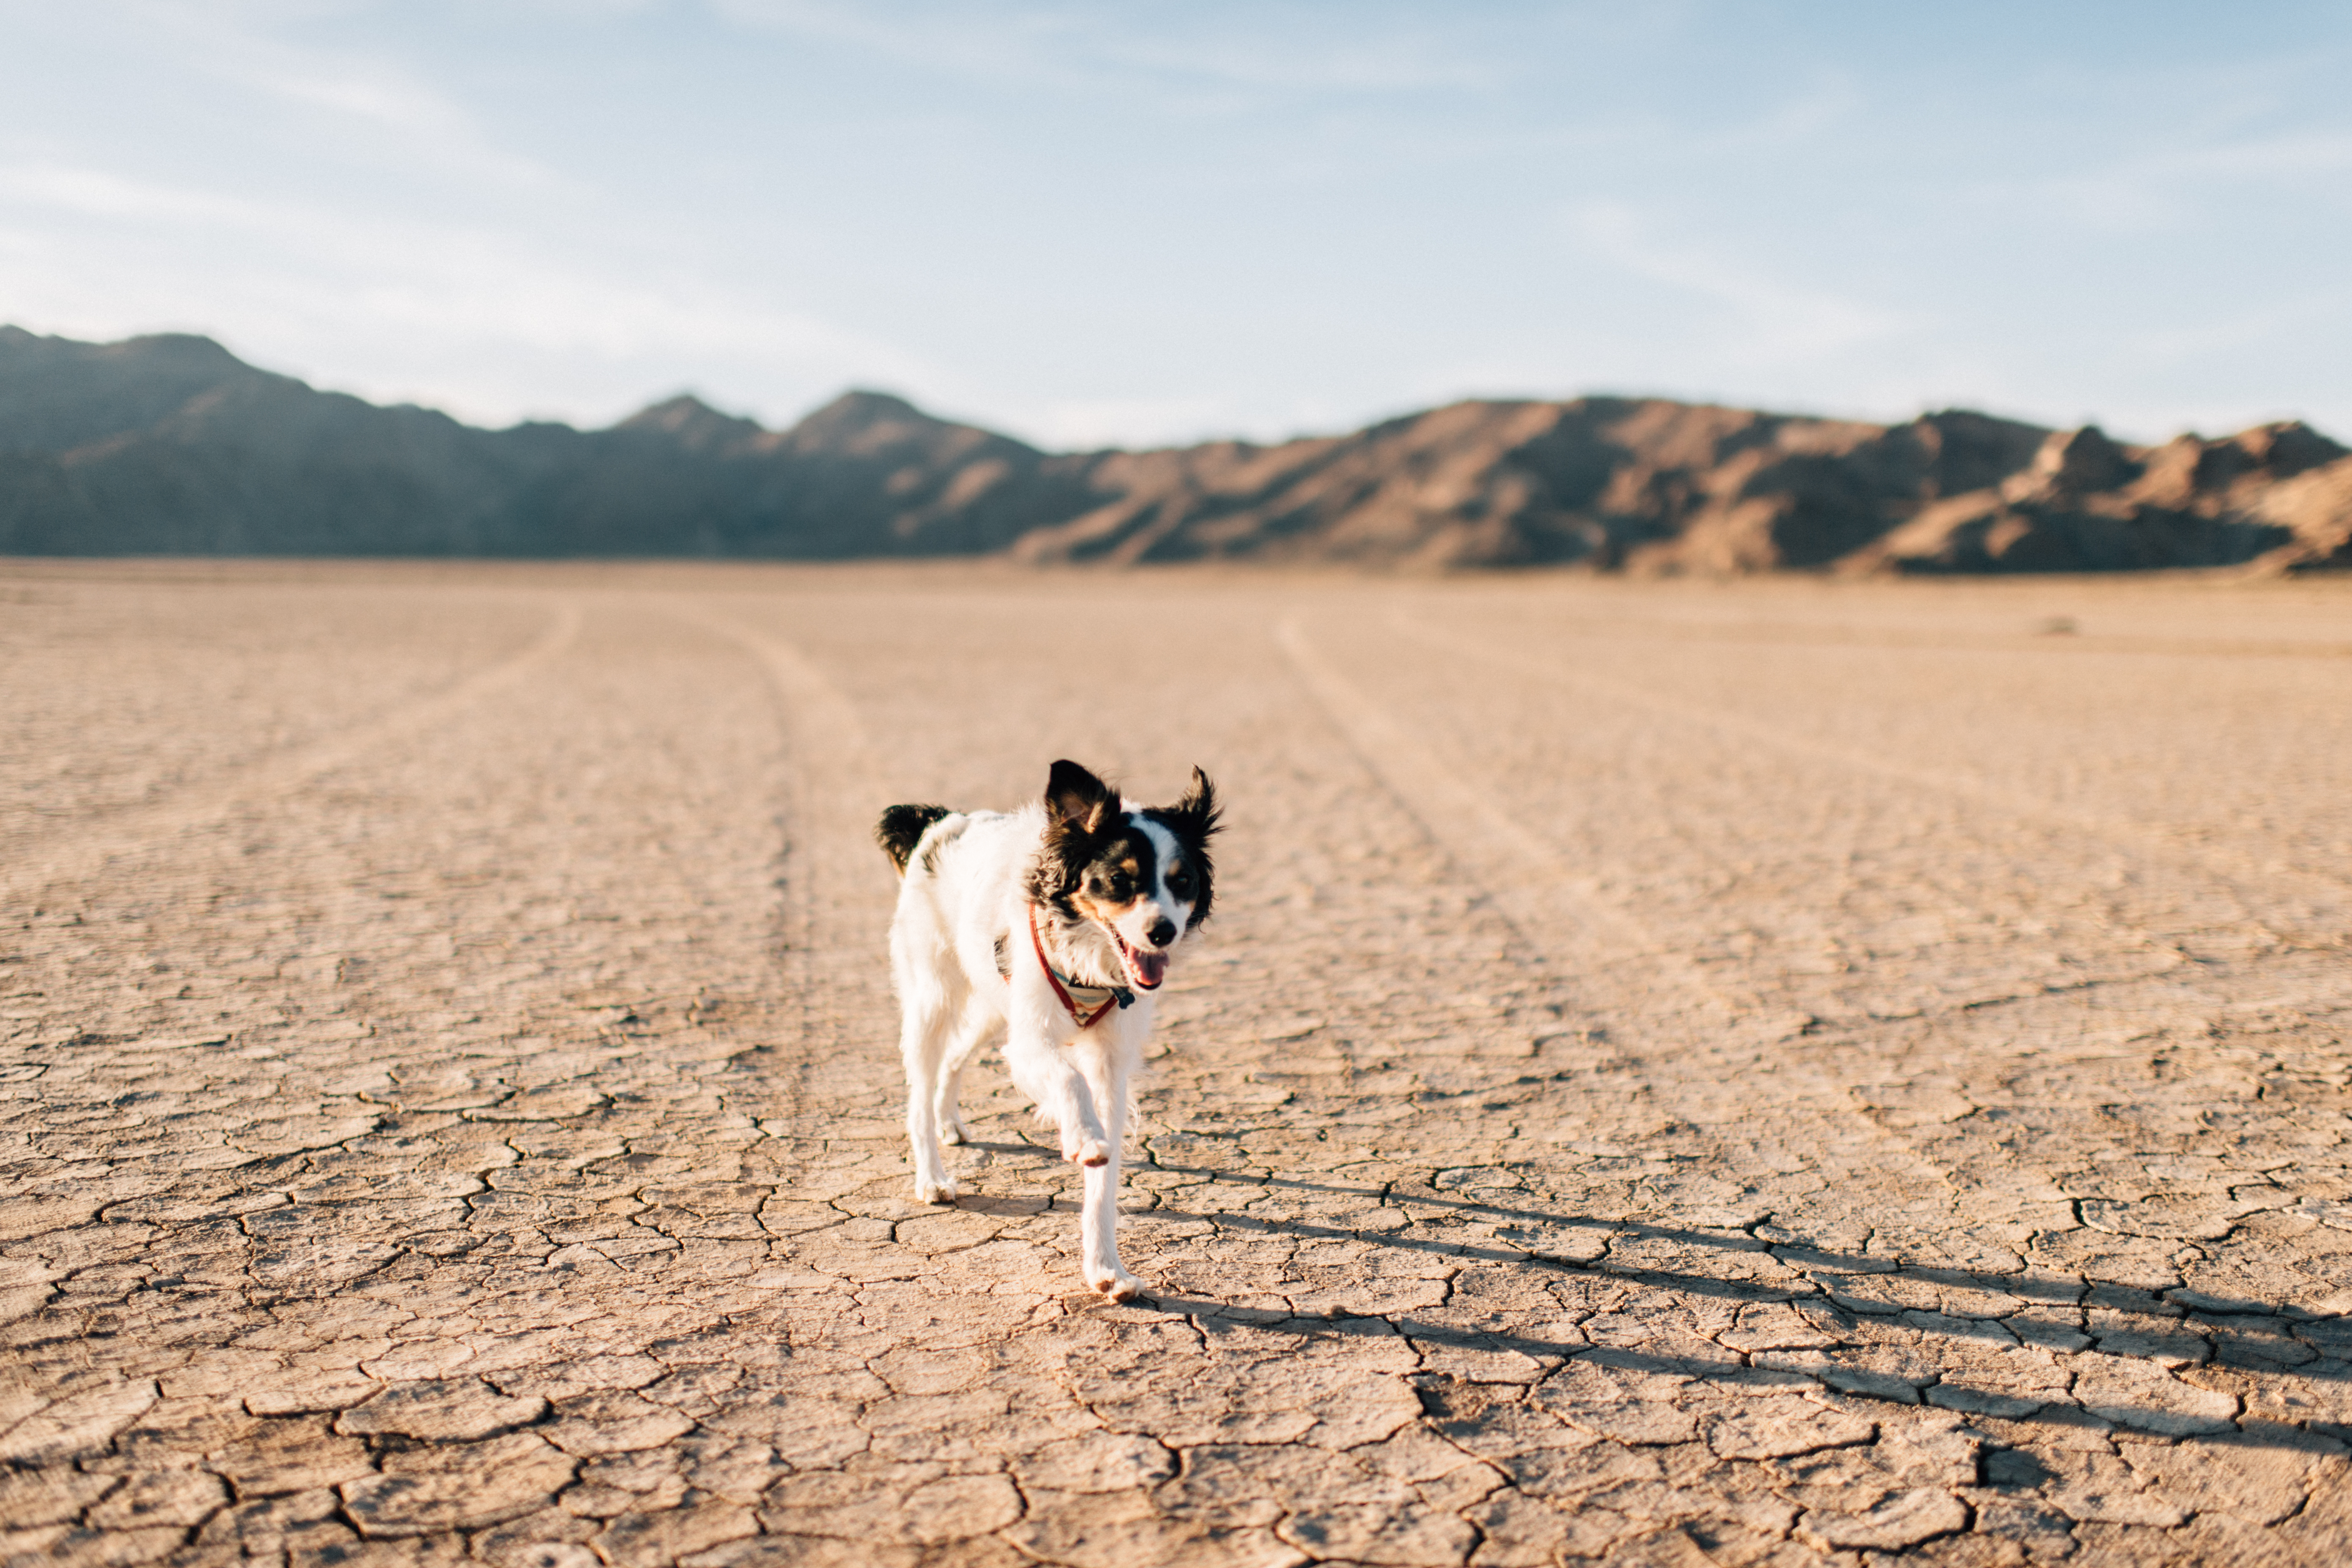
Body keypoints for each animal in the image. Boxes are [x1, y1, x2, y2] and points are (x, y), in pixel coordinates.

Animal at [875, 762, 1223, 1298]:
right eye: (1118, 880)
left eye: (1182, 881)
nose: (1163, 932)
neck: (1092, 959)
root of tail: (939, 822)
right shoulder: (1034, 1039)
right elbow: (1067, 1079)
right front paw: (1083, 1137)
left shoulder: (1109, 1064)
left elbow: (1104, 1178)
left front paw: (1106, 1268)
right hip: (934, 997)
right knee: (921, 1087)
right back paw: (931, 1177)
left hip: (994, 1001)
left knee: (956, 1056)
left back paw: (949, 1121)